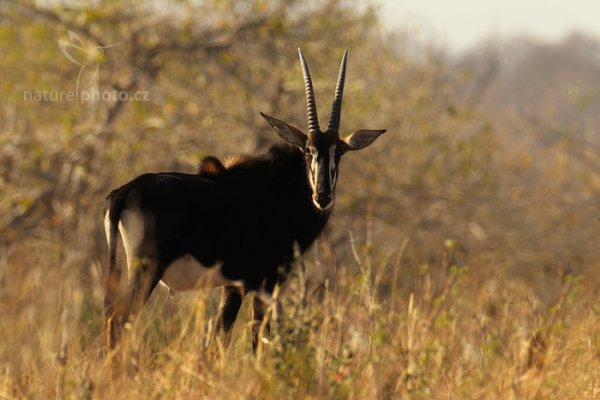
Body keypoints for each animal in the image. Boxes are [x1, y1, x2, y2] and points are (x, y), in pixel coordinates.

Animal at [102, 48, 384, 352]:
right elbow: (251, 338)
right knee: (119, 320)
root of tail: (123, 192)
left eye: (339, 152)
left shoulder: (234, 285)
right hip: (146, 270)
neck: (280, 188)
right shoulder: (260, 283)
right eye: (307, 151)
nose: (322, 196)